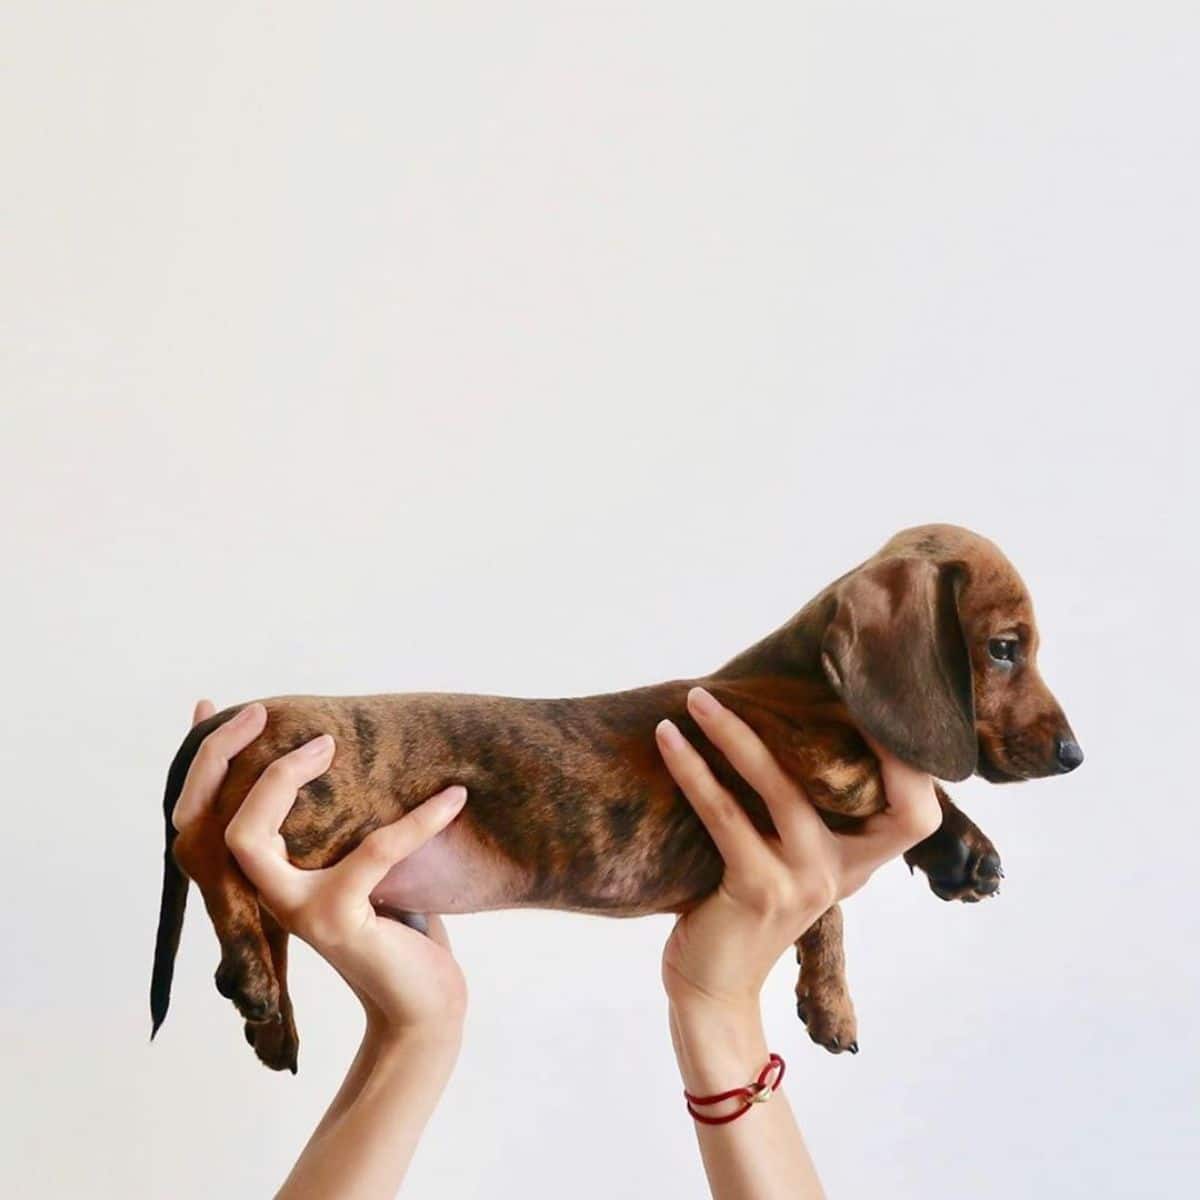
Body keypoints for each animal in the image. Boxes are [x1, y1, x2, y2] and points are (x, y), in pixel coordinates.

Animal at [147, 523, 1080, 1070]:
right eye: (1005, 648)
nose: (1075, 756)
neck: (798, 678)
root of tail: (248, 711)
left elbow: (830, 907)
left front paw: (838, 992)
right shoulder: (805, 751)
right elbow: (870, 807)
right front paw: (951, 843)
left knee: (260, 905)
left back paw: (272, 1017)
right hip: (310, 807)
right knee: (204, 846)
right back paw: (255, 984)